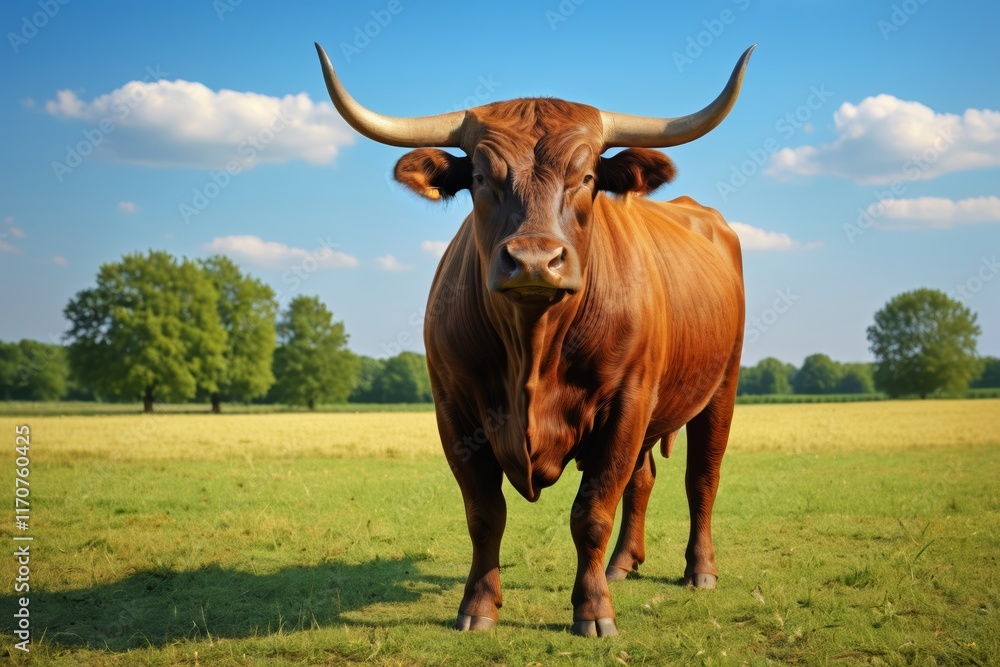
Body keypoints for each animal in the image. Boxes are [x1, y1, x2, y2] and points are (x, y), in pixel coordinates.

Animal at [316, 43, 753, 637]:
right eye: (480, 177)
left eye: (587, 176)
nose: (533, 260)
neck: (533, 347)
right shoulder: (454, 410)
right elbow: (484, 514)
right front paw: (478, 606)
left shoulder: (626, 403)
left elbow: (592, 512)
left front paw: (593, 612)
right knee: (644, 479)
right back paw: (622, 564)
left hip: (721, 386)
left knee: (702, 476)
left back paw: (699, 570)